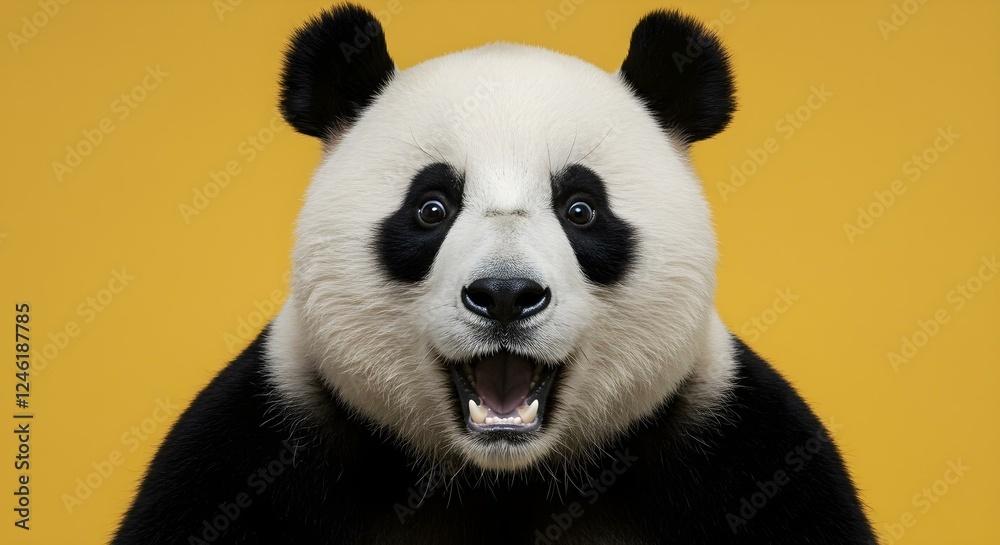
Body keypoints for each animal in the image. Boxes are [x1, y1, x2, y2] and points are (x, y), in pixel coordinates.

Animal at [114, 5, 876, 544]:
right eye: (431, 207)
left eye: (581, 208)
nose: (505, 296)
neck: (503, 480)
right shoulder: (257, 452)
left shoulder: (741, 454)